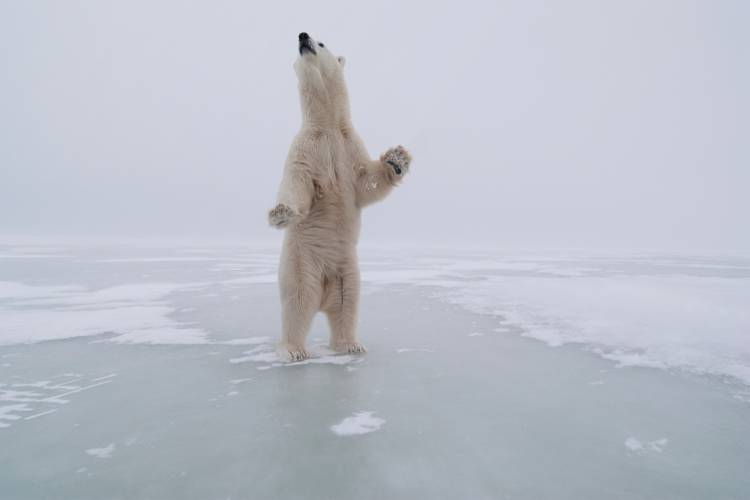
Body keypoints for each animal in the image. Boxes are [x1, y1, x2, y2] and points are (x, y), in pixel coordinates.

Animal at [268, 33, 414, 362]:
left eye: (321, 42)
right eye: (303, 43)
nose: (302, 35)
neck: (328, 128)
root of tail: (323, 290)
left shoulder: (349, 147)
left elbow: (367, 181)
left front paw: (396, 159)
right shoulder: (305, 148)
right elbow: (297, 183)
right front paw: (280, 213)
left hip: (347, 269)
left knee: (347, 303)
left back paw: (350, 344)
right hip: (301, 263)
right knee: (297, 304)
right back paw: (293, 350)